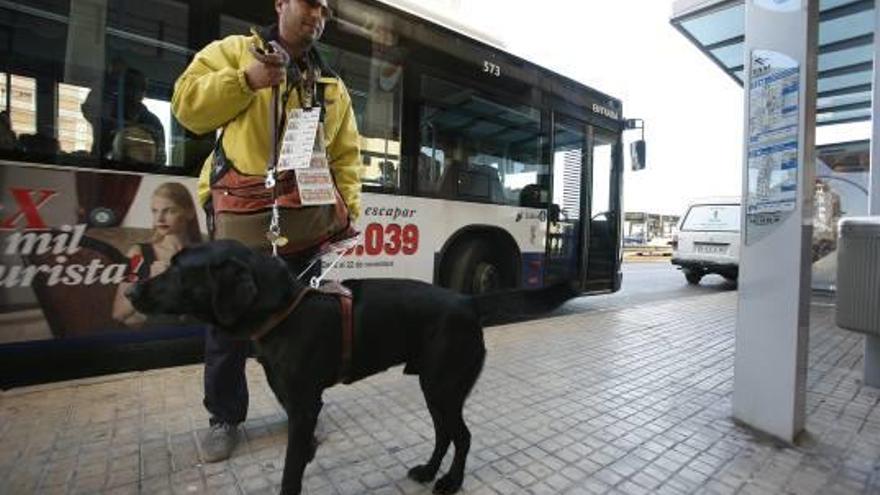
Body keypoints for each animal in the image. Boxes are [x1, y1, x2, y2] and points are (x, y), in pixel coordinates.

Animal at [127, 239, 576, 492]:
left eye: (178, 269)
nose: (130, 291)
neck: (284, 310)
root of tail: (468, 301)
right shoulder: (297, 403)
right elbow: (300, 452)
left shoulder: (305, 405)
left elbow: (291, 470)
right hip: (433, 389)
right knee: (445, 434)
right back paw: (429, 471)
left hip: (444, 386)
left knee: (461, 436)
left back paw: (450, 481)